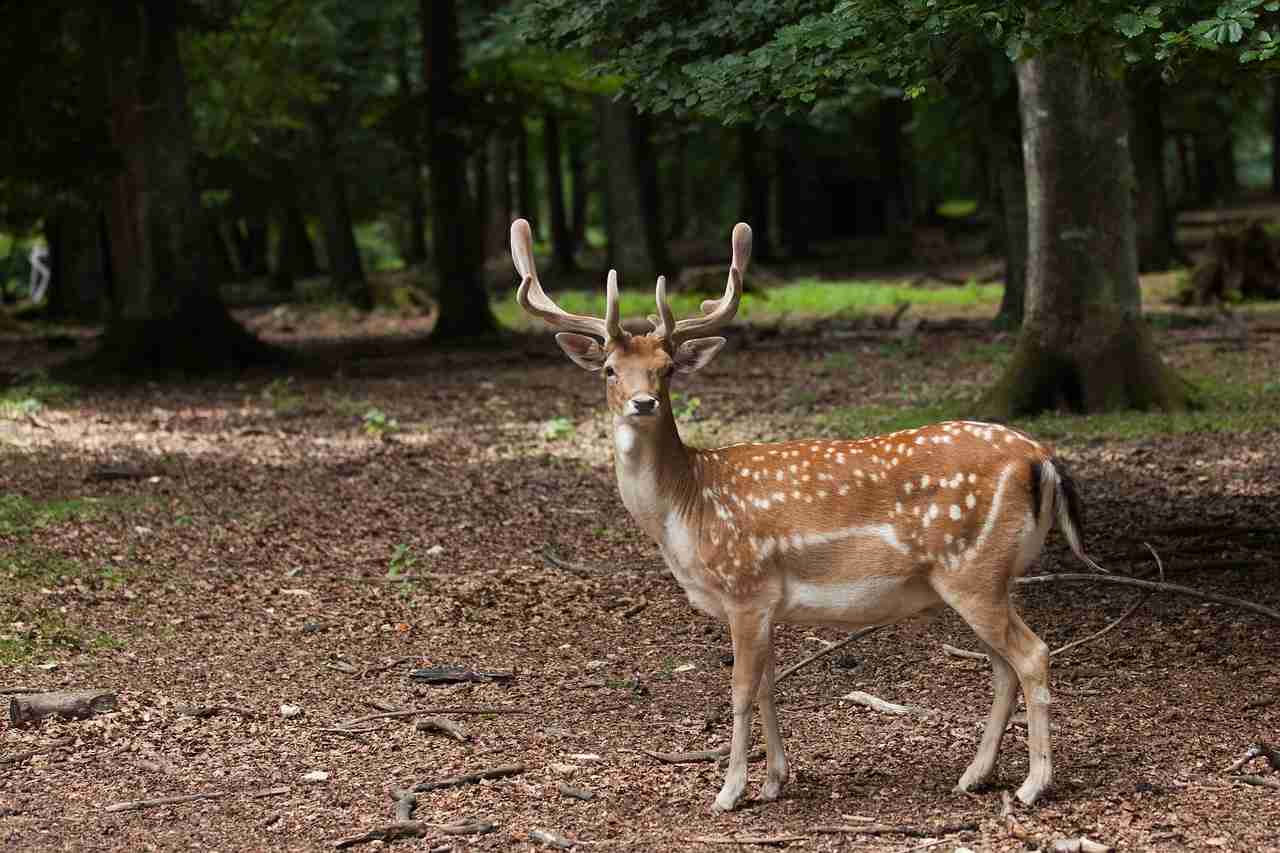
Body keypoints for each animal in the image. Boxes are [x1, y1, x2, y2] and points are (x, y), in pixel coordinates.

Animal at [506, 216, 1100, 809]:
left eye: (667, 368)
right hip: (989, 575)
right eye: (609, 369)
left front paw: (729, 792)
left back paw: (1032, 785)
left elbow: (740, 691)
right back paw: (975, 775)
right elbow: (770, 687)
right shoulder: (768, 605)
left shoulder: (745, 588)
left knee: (1032, 655)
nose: (643, 403)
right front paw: (773, 781)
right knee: (1003, 667)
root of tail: (1041, 457)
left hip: (972, 570)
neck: (686, 510)